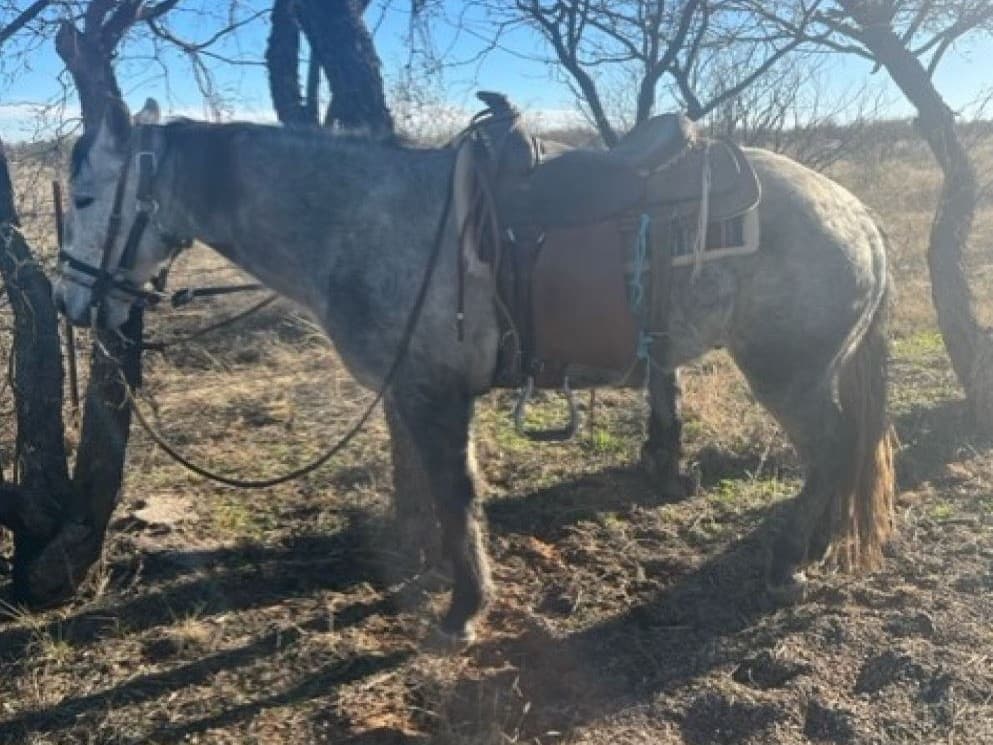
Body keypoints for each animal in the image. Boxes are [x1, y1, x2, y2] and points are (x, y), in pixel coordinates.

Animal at [53, 97, 893, 644]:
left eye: (87, 196)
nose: (70, 302)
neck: (359, 220)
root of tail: (857, 214)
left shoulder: (434, 394)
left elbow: (456, 495)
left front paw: (462, 608)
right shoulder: (410, 393)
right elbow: (438, 494)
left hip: (788, 373)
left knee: (829, 451)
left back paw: (788, 561)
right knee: (841, 453)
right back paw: (813, 547)